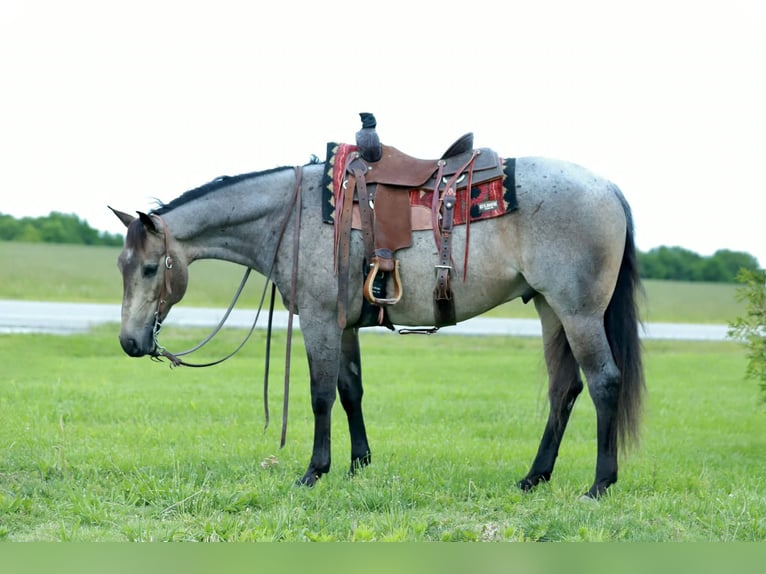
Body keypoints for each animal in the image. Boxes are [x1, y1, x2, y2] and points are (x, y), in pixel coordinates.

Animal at [110, 151, 645, 499]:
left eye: (151, 268)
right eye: (121, 265)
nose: (130, 342)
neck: (290, 216)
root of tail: (610, 189)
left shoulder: (320, 320)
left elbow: (320, 395)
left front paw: (314, 471)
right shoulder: (344, 325)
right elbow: (351, 391)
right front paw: (358, 464)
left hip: (578, 312)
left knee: (604, 383)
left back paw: (600, 483)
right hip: (551, 310)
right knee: (564, 390)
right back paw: (534, 477)